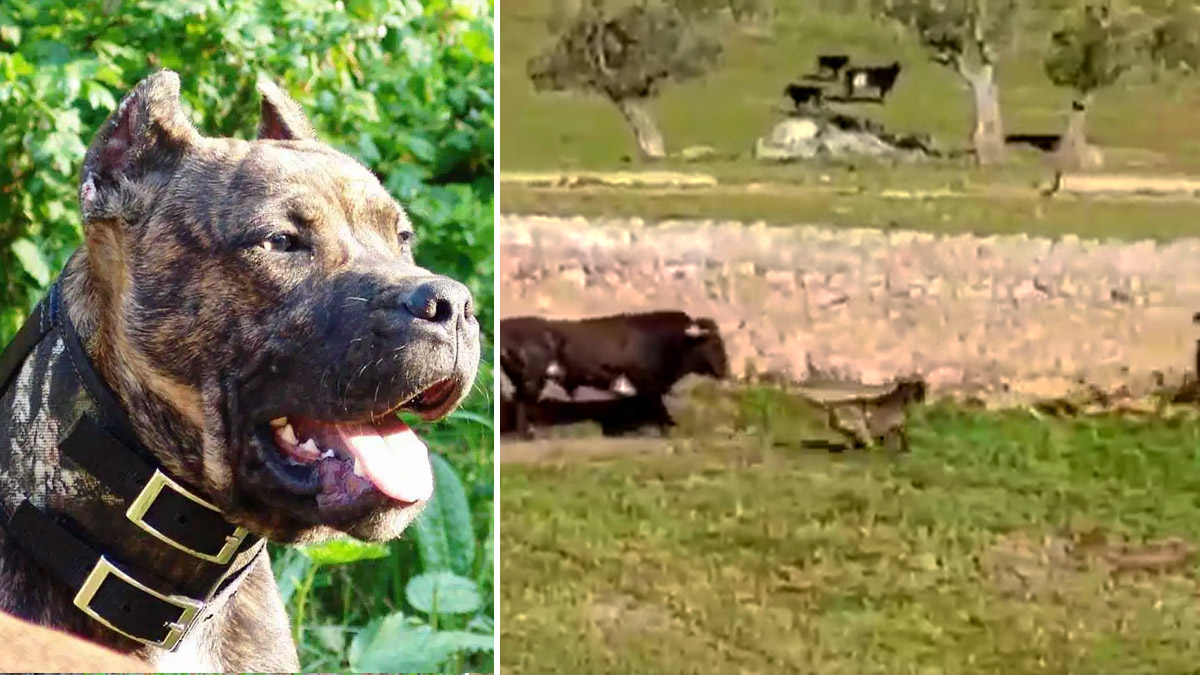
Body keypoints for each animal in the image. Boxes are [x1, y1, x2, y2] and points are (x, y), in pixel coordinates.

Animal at [499, 312, 729, 432]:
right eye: (715, 343)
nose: (726, 371)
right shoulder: (645, 383)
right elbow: (658, 408)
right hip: (531, 377)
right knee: (522, 401)